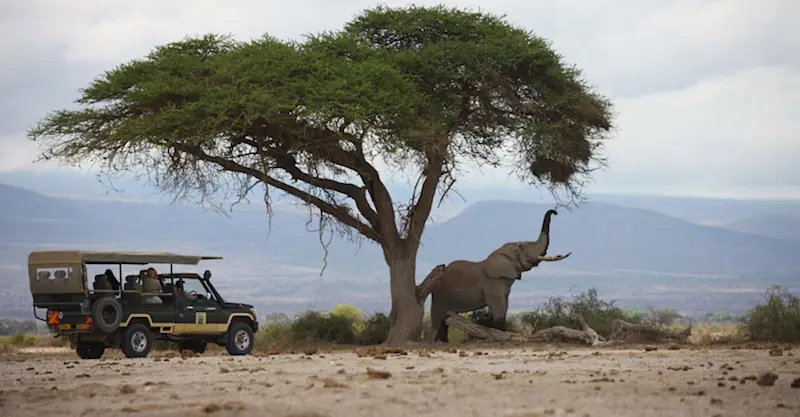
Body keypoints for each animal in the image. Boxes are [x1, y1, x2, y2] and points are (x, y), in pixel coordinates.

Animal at [429, 209, 571, 342]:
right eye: (521, 248)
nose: (555, 213)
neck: (501, 253)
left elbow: (504, 306)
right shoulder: (493, 283)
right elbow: (499, 308)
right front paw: (501, 334)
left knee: (446, 319)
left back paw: (444, 340)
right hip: (440, 293)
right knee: (439, 317)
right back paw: (437, 341)